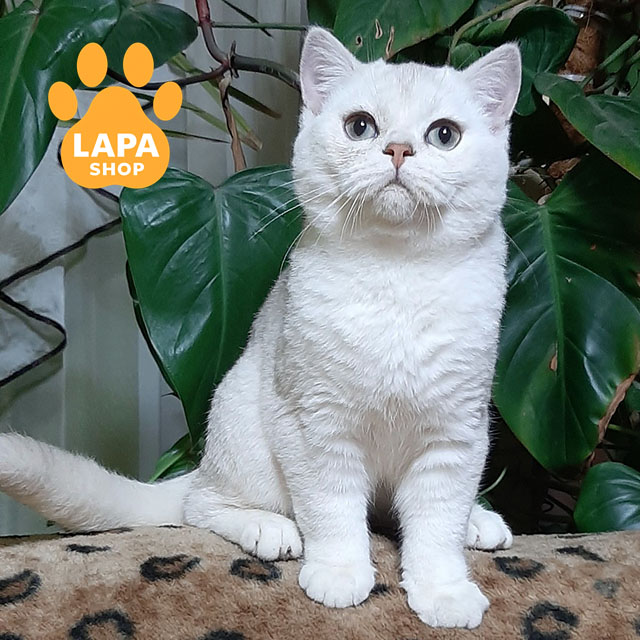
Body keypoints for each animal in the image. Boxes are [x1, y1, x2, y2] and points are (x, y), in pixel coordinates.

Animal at [0, 28, 521, 628]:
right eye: (360, 126)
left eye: (444, 135)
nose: (398, 149)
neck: (398, 278)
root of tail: (202, 461)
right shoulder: (315, 427)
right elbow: (333, 513)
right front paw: (341, 574)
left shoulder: (455, 434)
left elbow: (436, 527)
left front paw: (443, 591)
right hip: (246, 421)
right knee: (202, 504)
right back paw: (267, 528)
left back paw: (478, 521)